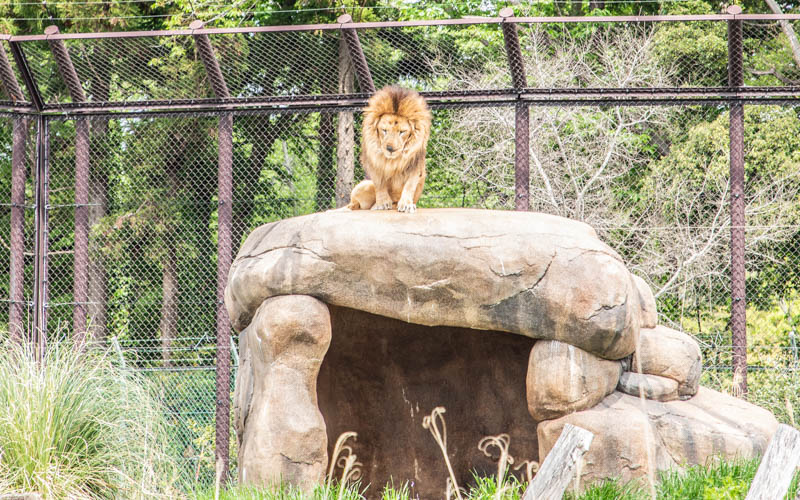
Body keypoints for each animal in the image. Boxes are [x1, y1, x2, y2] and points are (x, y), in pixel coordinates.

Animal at [346, 85, 428, 213]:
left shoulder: (415, 166)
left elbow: (409, 186)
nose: (390, 148)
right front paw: (383, 203)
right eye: (384, 130)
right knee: (354, 206)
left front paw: (406, 205)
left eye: (402, 132)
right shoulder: (375, 167)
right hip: (362, 186)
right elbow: (380, 185)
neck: (393, 160)